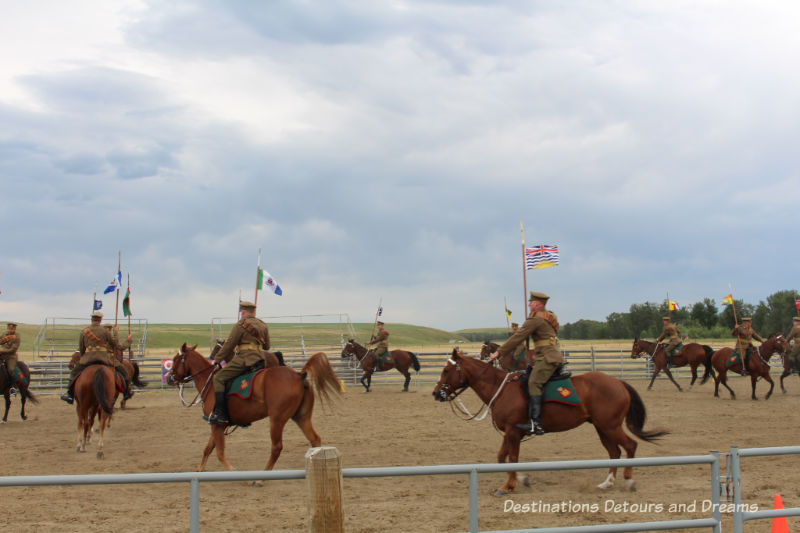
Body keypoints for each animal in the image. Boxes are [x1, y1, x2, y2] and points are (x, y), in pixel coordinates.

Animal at [167, 342, 342, 472]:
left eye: (175, 359)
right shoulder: (216, 424)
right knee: (315, 439)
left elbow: (219, 452)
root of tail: (300, 375)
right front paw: (200, 468)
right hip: (301, 417)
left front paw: (232, 471)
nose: (169, 378)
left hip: (277, 420)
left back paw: (261, 478)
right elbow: (208, 448)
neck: (210, 383)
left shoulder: (217, 424)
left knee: (276, 447)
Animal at [434, 348, 664, 492]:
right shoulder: (510, 432)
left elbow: (512, 458)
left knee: (630, 446)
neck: (501, 389)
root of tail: (618, 382)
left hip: (610, 426)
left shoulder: (514, 432)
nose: (436, 393)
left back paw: (629, 480)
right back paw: (607, 483)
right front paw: (521, 479)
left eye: (446, 370)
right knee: (614, 452)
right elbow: (501, 457)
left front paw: (509, 486)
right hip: (602, 427)